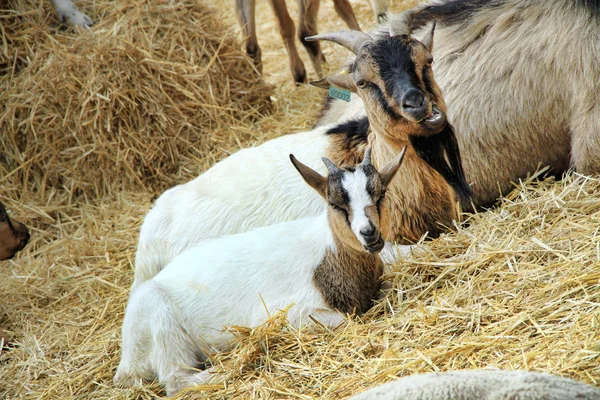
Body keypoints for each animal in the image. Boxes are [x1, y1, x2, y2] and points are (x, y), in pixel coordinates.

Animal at [115, 148, 406, 396]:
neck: (328, 258)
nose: (370, 234)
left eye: (380, 194)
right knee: (176, 380)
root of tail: (126, 362)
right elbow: (346, 319)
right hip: (161, 324)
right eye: (335, 204)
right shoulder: (288, 314)